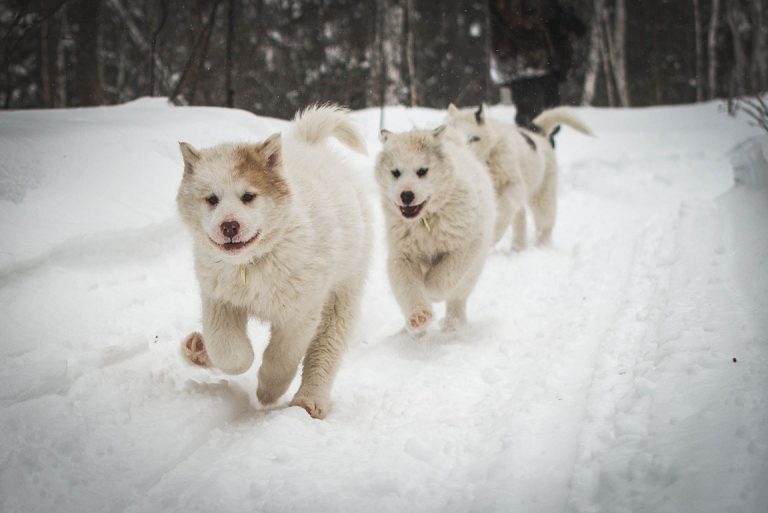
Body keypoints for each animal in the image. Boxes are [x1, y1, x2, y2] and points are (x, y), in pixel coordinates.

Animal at [178, 104, 376, 416]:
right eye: (211, 199)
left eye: (248, 196)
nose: (229, 226)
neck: (253, 263)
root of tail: (308, 144)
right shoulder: (219, 300)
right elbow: (230, 351)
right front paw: (210, 351)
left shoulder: (300, 313)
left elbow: (282, 356)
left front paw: (268, 390)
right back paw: (198, 349)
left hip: (342, 295)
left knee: (325, 350)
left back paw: (309, 400)